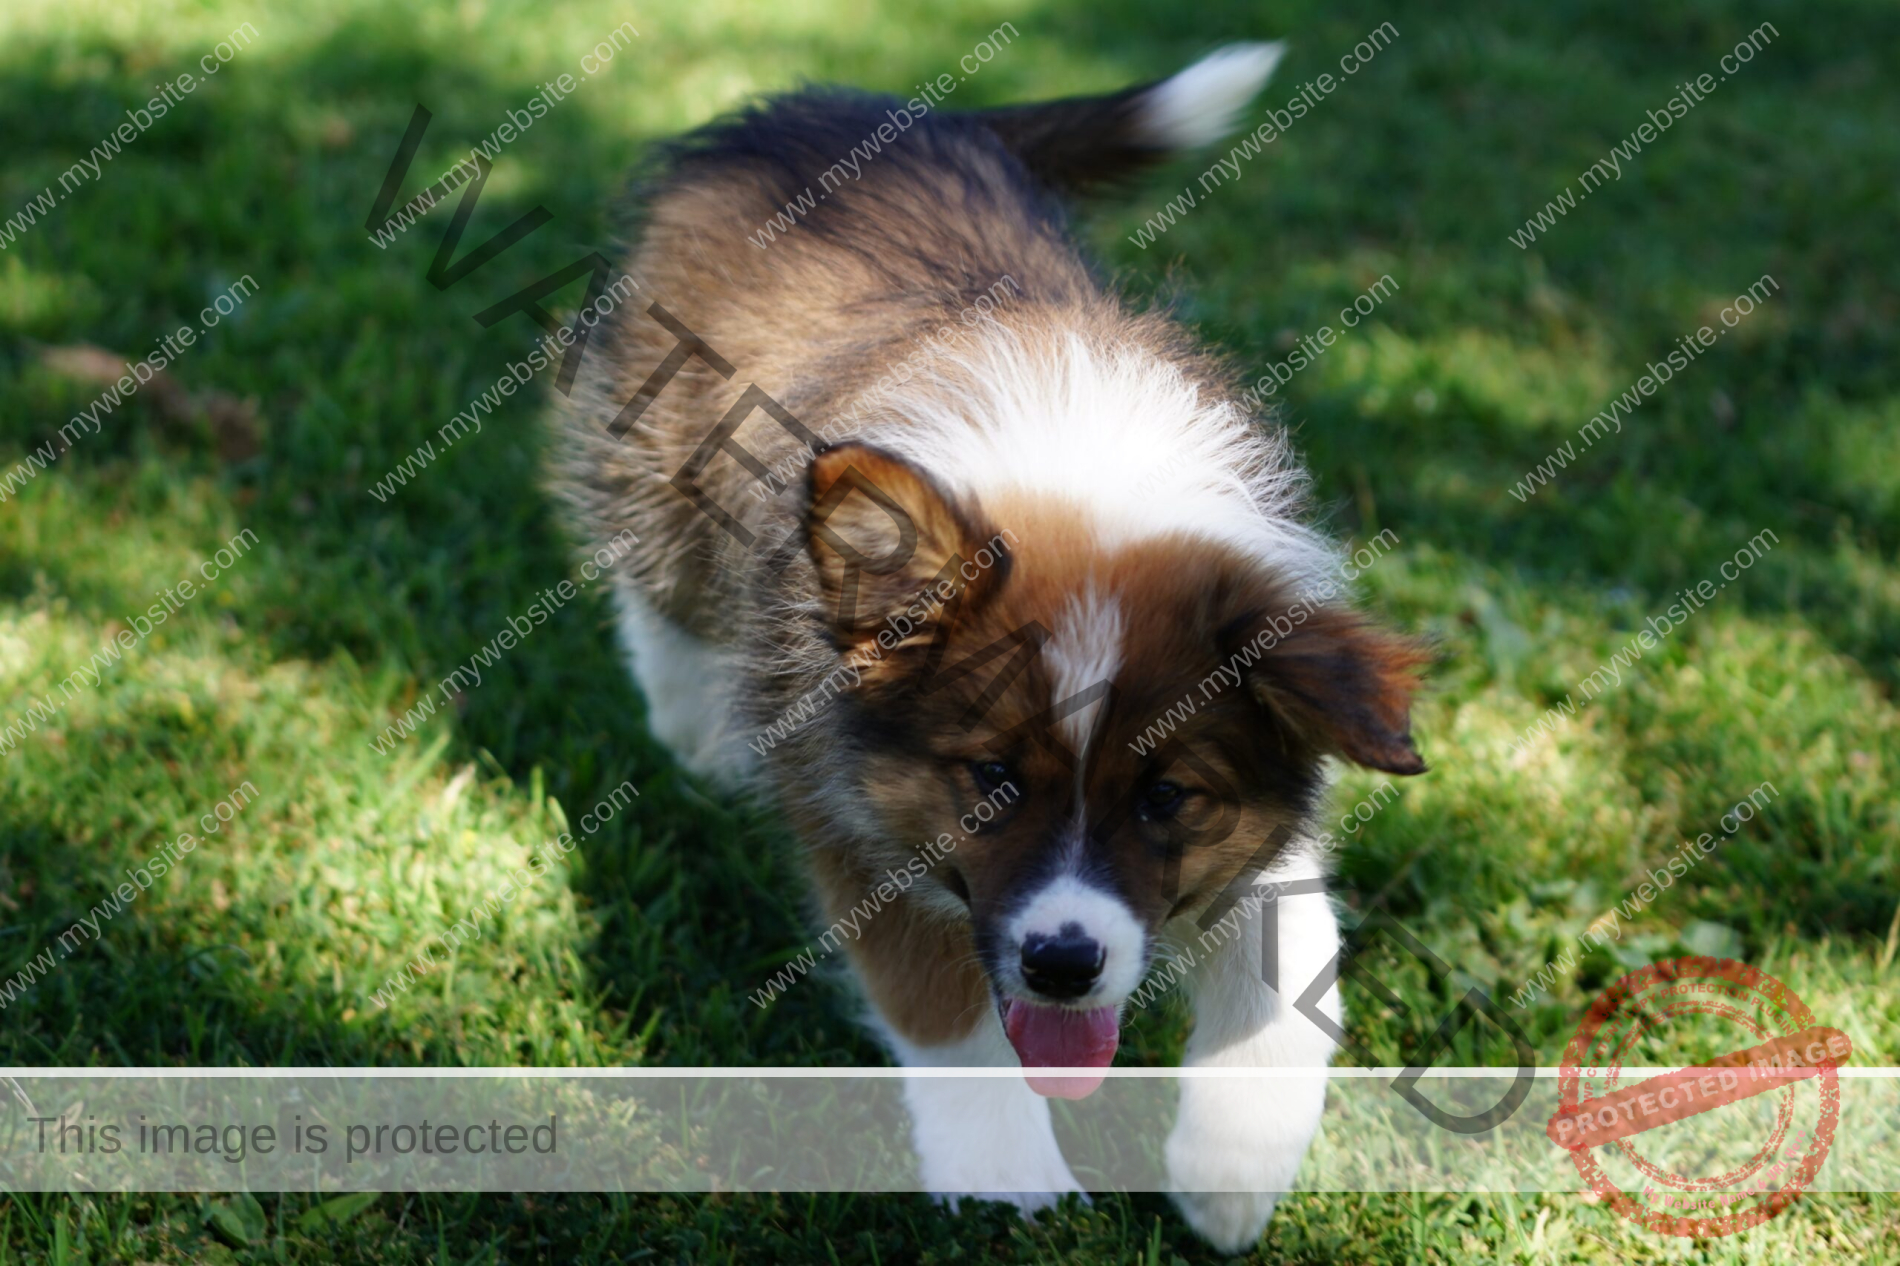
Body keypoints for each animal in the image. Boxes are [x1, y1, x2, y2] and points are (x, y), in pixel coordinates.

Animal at [551, 41, 1428, 1254]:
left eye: (1168, 796)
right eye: (992, 779)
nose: (1064, 966)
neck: (1083, 478)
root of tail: (847, 104)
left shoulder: (1267, 809)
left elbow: (1294, 963)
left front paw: (1231, 1172)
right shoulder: (856, 820)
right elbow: (942, 1009)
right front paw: (1009, 1181)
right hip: (658, 436)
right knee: (654, 573)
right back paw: (697, 730)